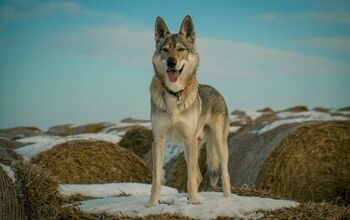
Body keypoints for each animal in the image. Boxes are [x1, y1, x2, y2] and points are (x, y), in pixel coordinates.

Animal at [148, 15, 232, 206]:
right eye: (165, 50)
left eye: (181, 49)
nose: (171, 62)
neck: (174, 94)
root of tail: (217, 91)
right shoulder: (159, 139)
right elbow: (156, 179)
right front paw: (152, 204)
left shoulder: (188, 139)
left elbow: (190, 177)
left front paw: (194, 203)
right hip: (192, 146)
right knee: (199, 175)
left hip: (216, 144)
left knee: (224, 174)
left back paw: (227, 198)